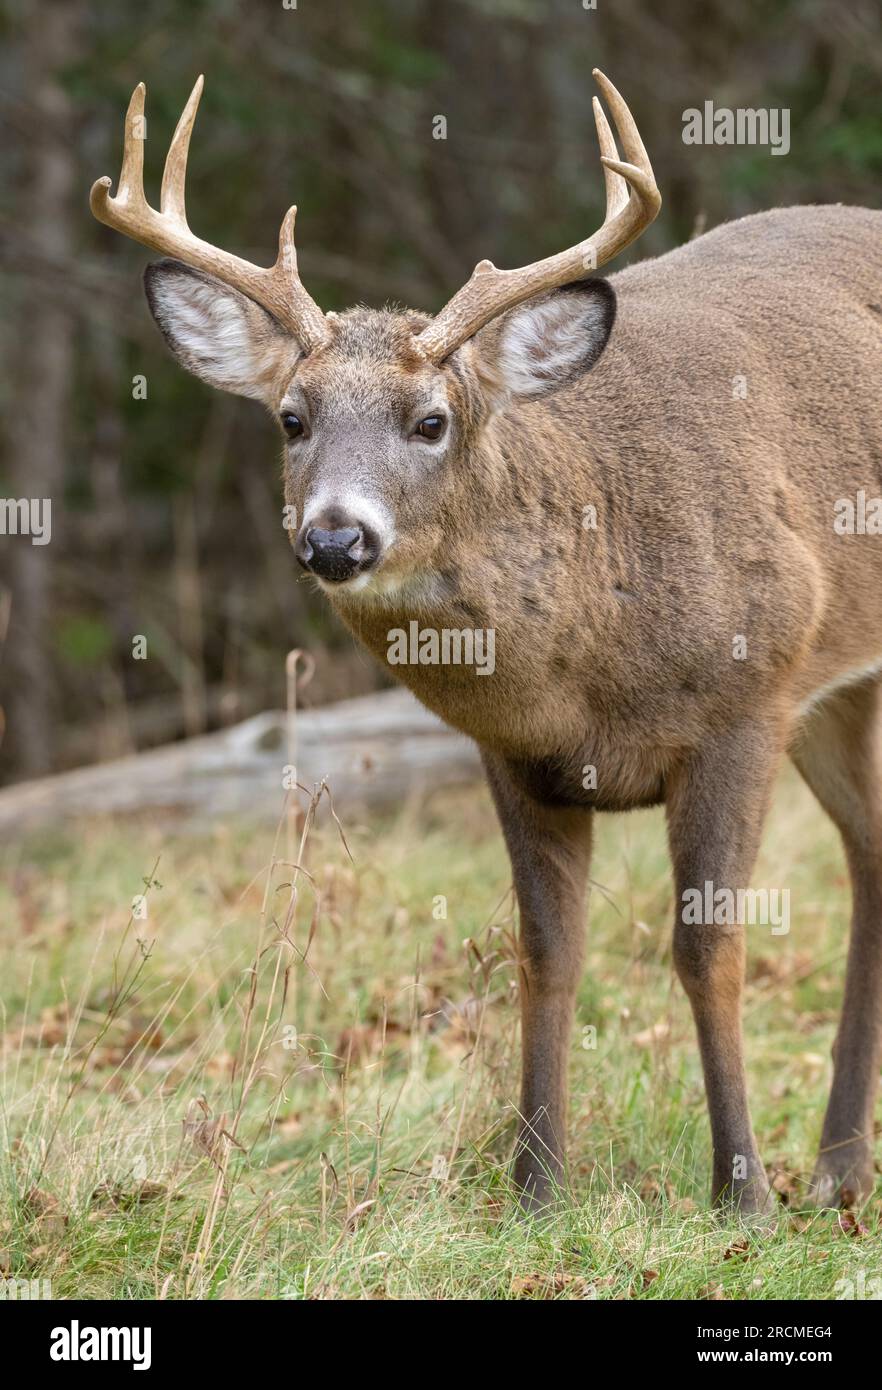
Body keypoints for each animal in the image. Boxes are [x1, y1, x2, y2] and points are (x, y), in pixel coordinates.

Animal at [91, 71, 882, 1216]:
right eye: (292, 417)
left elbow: (708, 947)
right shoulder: (517, 757)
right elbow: (546, 953)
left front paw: (741, 1192)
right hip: (836, 695)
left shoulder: (749, 694)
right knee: (873, 849)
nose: (335, 537)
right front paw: (536, 1185)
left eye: (430, 421)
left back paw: (823, 1171)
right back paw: (839, 1165)